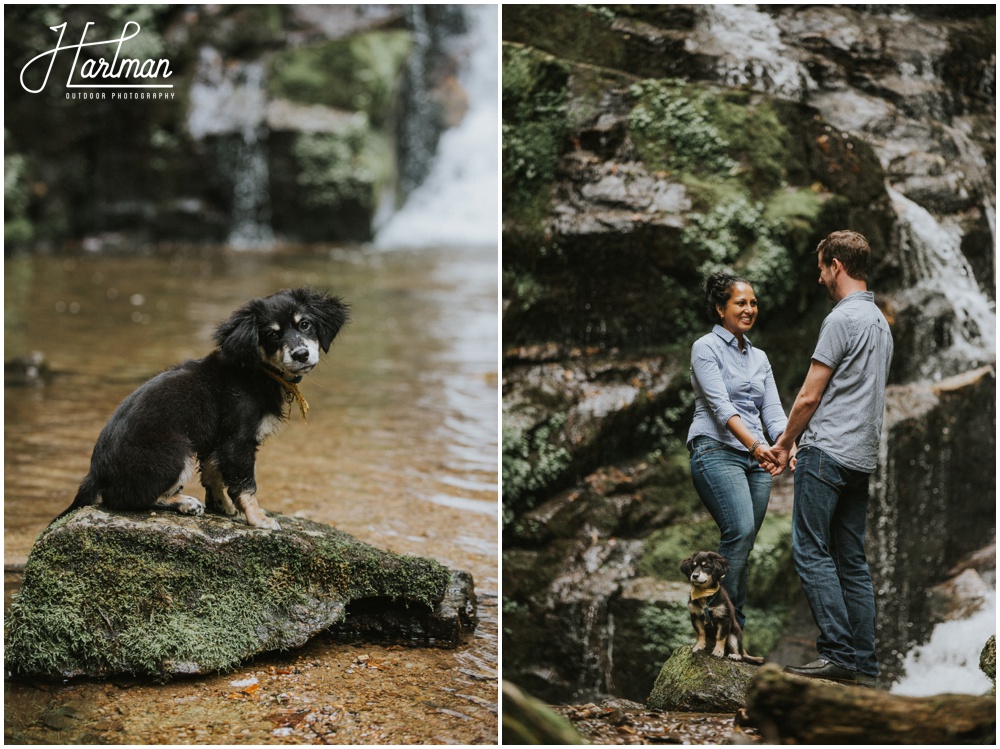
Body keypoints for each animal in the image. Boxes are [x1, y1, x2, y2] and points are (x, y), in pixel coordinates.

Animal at [58, 288, 350, 532]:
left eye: (305, 324)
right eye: (272, 334)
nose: (301, 354)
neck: (258, 371)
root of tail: (95, 472)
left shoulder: (217, 440)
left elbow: (213, 473)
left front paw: (222, 506)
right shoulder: (237, 441)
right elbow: (246, 484)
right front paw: (259, 519)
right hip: (175, 451)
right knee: (128, 498)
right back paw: (184, 502)